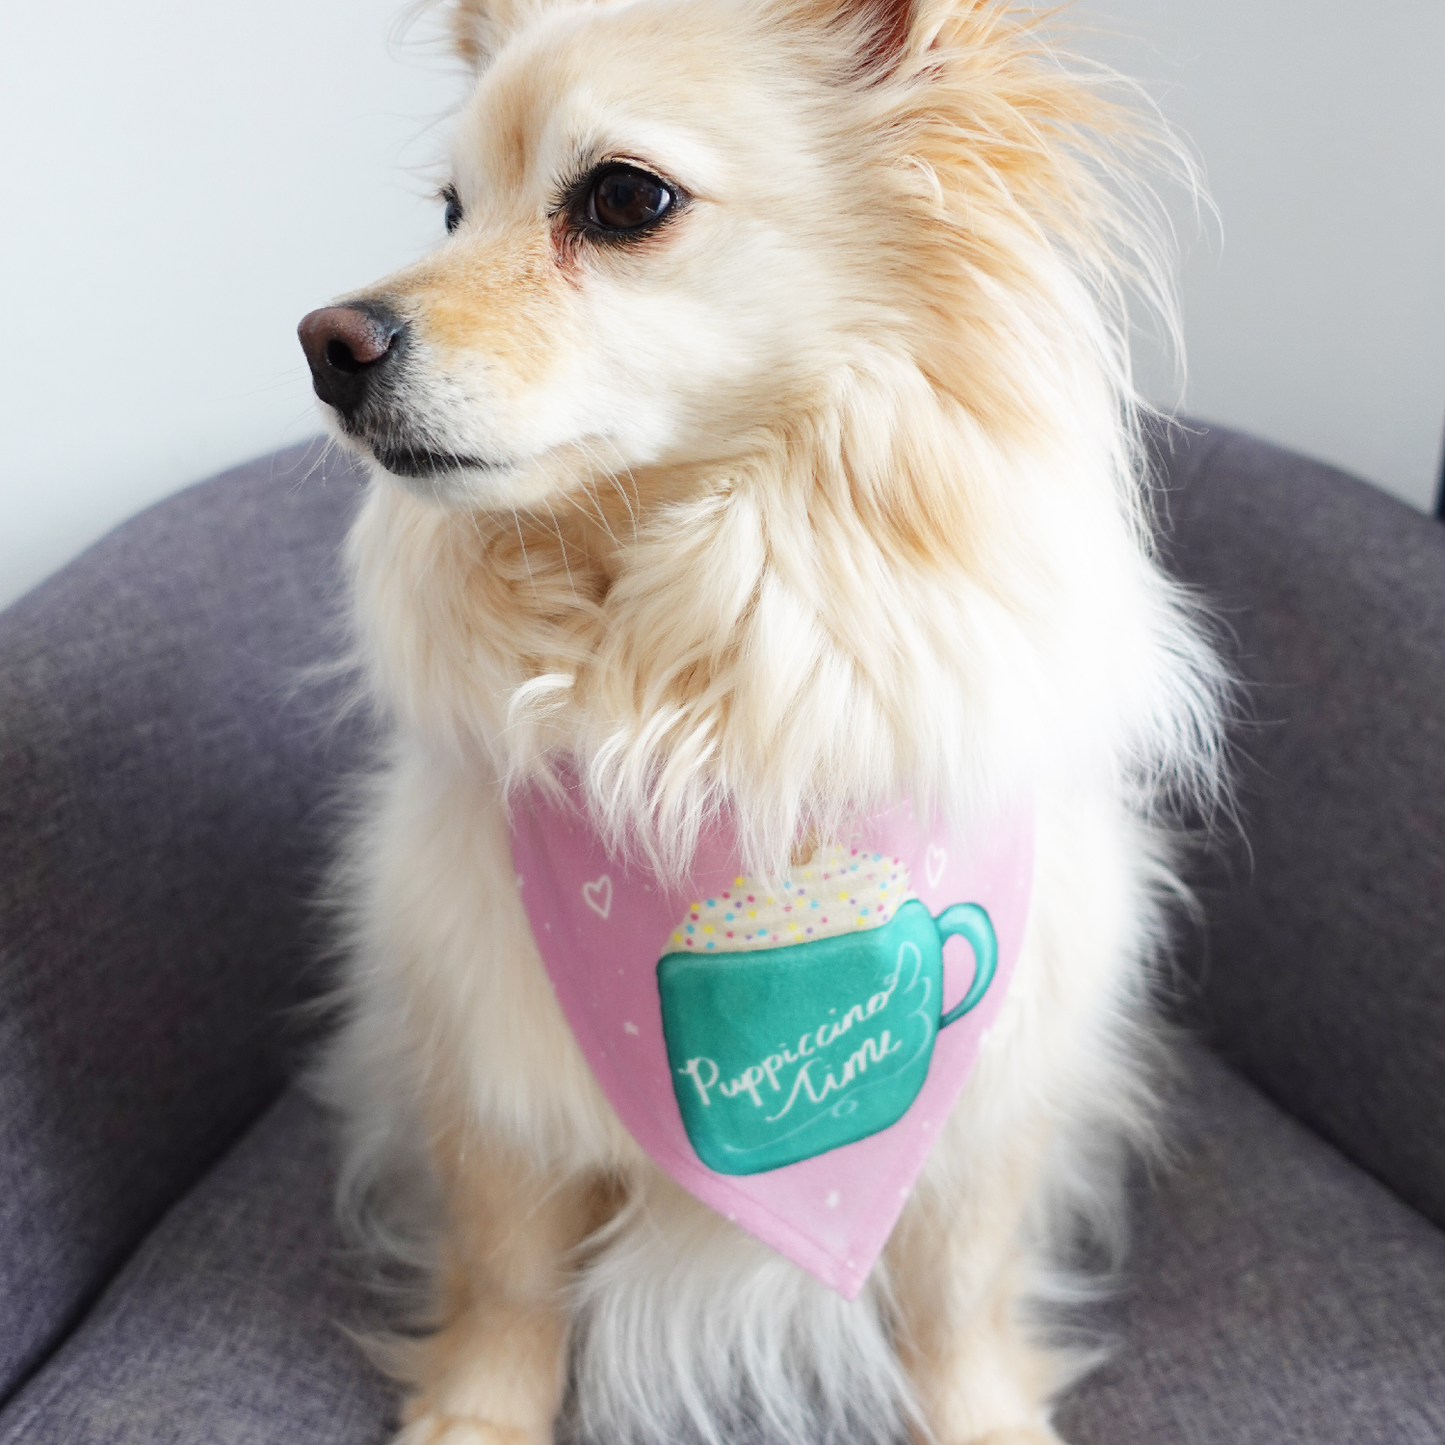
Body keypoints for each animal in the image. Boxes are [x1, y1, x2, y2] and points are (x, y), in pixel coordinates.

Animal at [299, 2, 1225, 1445]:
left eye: (624, 198)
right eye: (449, 212)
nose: (326, 340)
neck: (693, 690)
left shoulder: (990, 1107)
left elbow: (959, 1301)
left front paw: (980, 1417)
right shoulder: (492, 1067)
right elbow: (508, 1284)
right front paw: (475, 1417)